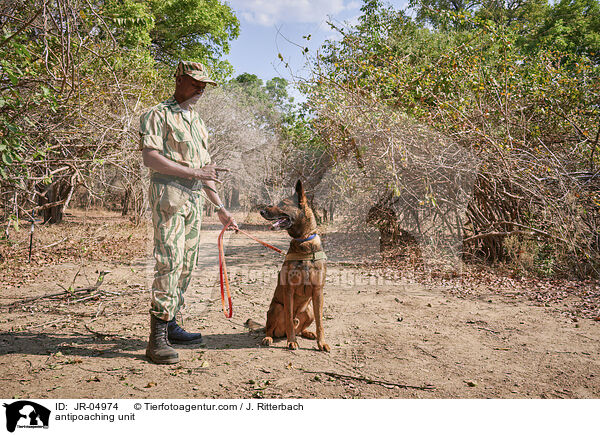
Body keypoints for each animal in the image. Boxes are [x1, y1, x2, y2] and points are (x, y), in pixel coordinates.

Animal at [258, 182, 330, 352]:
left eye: (282, 204)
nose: (261, 211)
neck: (304, 242)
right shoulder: (288, 290)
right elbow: (290, 319)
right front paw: (292, 341)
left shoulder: (318, 292)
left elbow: (320, 323)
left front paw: (322, 342)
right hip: (276, 308)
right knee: (270, 328)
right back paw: (269, 338)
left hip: (309, 311)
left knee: (301, 328)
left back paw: (308, 333)